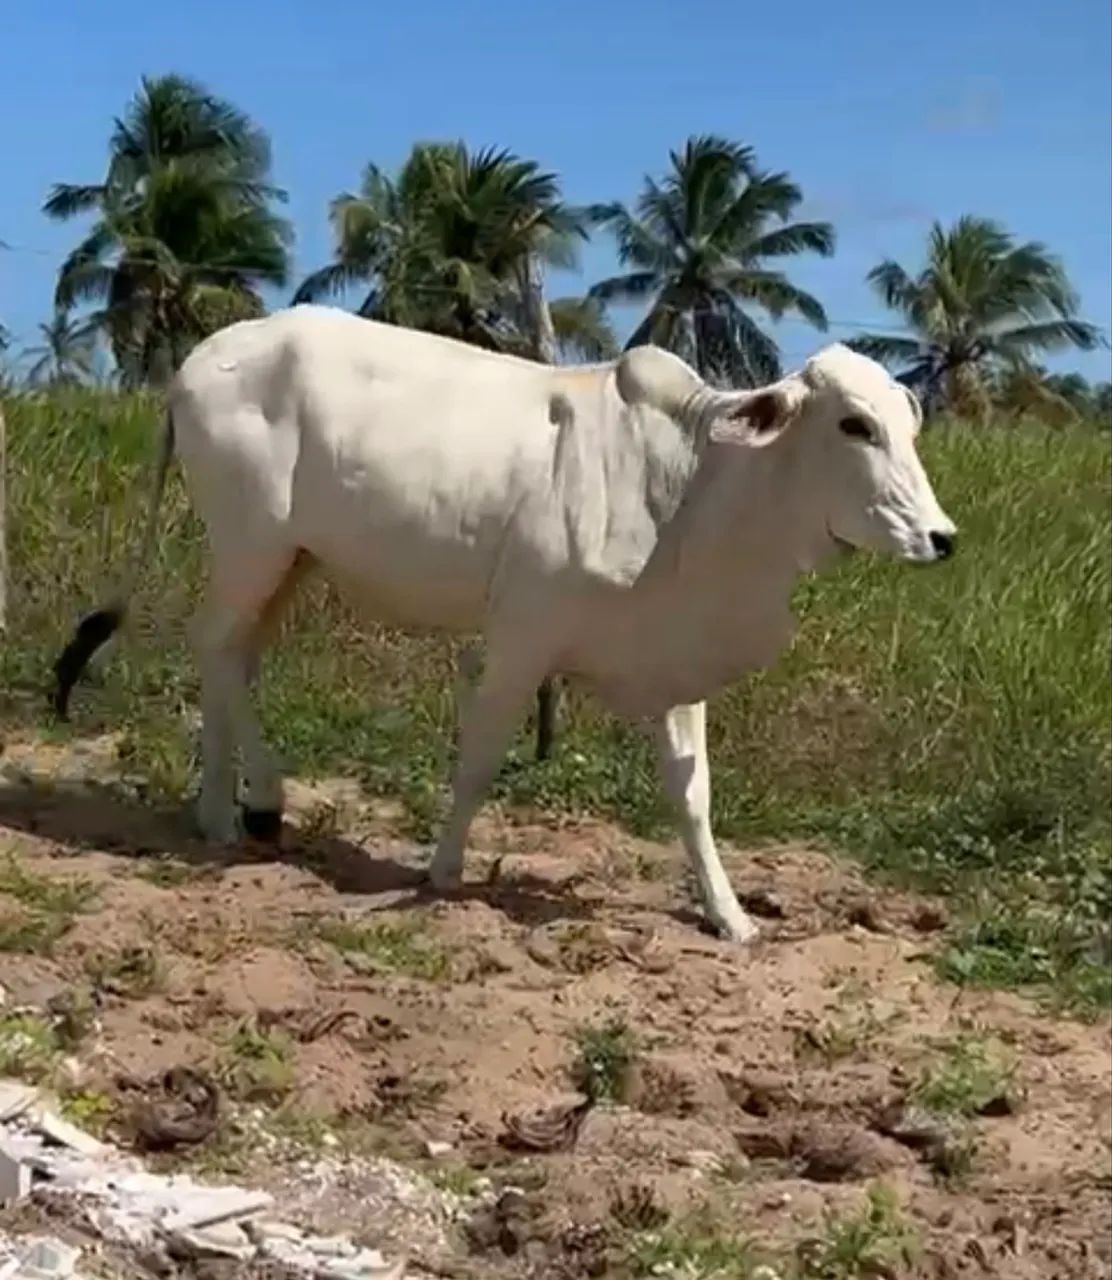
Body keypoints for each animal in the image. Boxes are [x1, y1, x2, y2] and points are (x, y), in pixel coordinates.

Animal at [51, 305, 956, 944]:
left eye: (908, 425)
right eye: (855, 424)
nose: (940, 538)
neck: (693, 483)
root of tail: (195, 364)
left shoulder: (673, 662)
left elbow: (693, 793)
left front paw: (728, 915)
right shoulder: (523, 637)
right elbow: (481, 757)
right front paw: (444, 872)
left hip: (290, 561)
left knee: (234, 656)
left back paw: (232, 808)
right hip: (252, 545)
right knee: (215, 646)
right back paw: (239, 808)